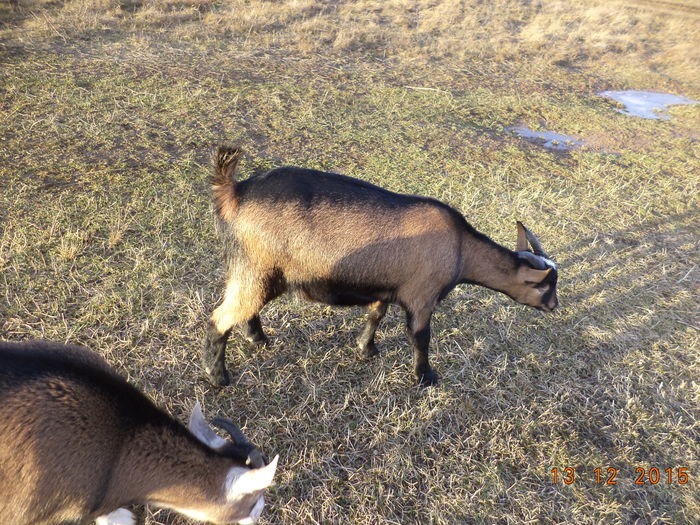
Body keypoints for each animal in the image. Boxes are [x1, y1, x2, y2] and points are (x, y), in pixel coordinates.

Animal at [204, 145, 556, 386]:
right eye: (544, 285)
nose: (554, 306)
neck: (461, 248)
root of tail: (234, 191)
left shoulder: (384, 288)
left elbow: (376, 314)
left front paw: (366, 349)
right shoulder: (421, 297)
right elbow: (421, 337)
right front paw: (425, 377)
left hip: (254, 271)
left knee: (244, 307)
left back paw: (257, 338)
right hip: (258, 268)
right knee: (221, 317)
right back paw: (218, 376)